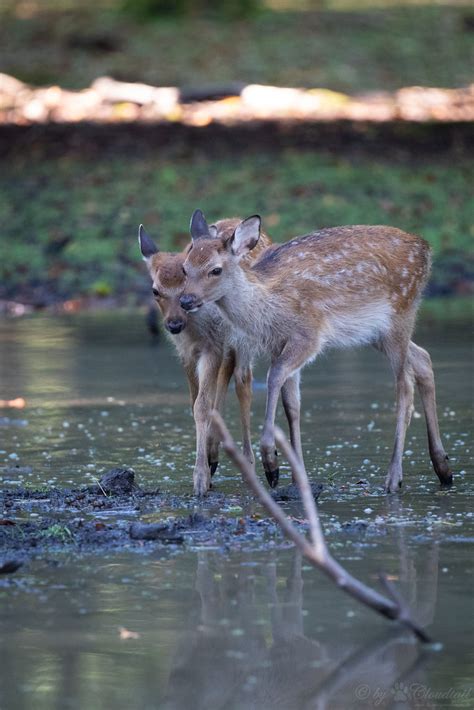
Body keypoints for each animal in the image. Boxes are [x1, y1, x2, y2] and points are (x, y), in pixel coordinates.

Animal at [181, 213, 452, 496]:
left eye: (215, 269)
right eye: (185, 268)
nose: (185, 300)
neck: (269, 308)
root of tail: (426, 248)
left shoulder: (309, 335)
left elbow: (273, 377)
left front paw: (271, 463)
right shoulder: (279, 344)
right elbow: (292, 404)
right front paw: (297, 477)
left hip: (401, 312)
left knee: (404, 387)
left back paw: (394, 478)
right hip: (376, 332)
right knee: (423, 359)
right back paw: (443, 468)